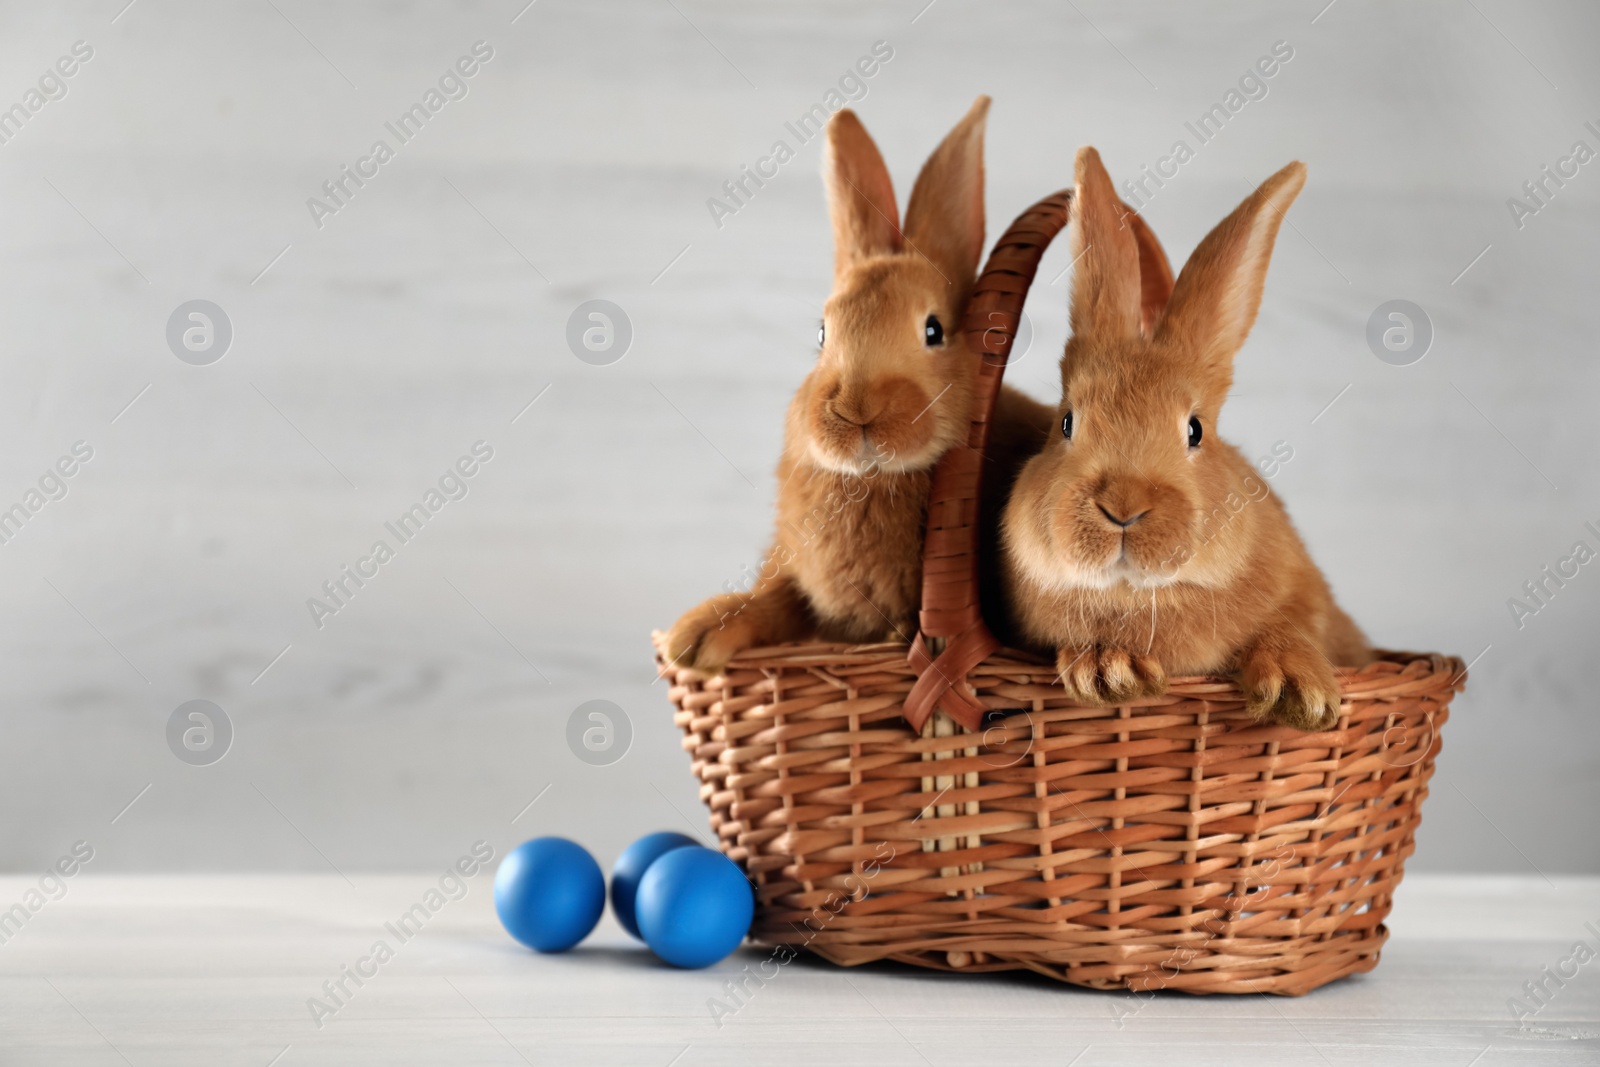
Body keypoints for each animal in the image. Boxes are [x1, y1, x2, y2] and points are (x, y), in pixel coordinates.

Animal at [656, 97, 1056, 668]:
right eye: (823, 332)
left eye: (934, 330)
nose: (857, 409)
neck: (871, 479)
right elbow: (777, 598)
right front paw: (697, 635)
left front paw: (899, 639)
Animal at [998, 147, 1363, 735]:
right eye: (1067, 423)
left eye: (1195, 430)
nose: (1123, 507)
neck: (1143, 595)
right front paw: (1110, 669)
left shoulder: (1304, 596)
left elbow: (1289, 627)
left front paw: (1298, 693)